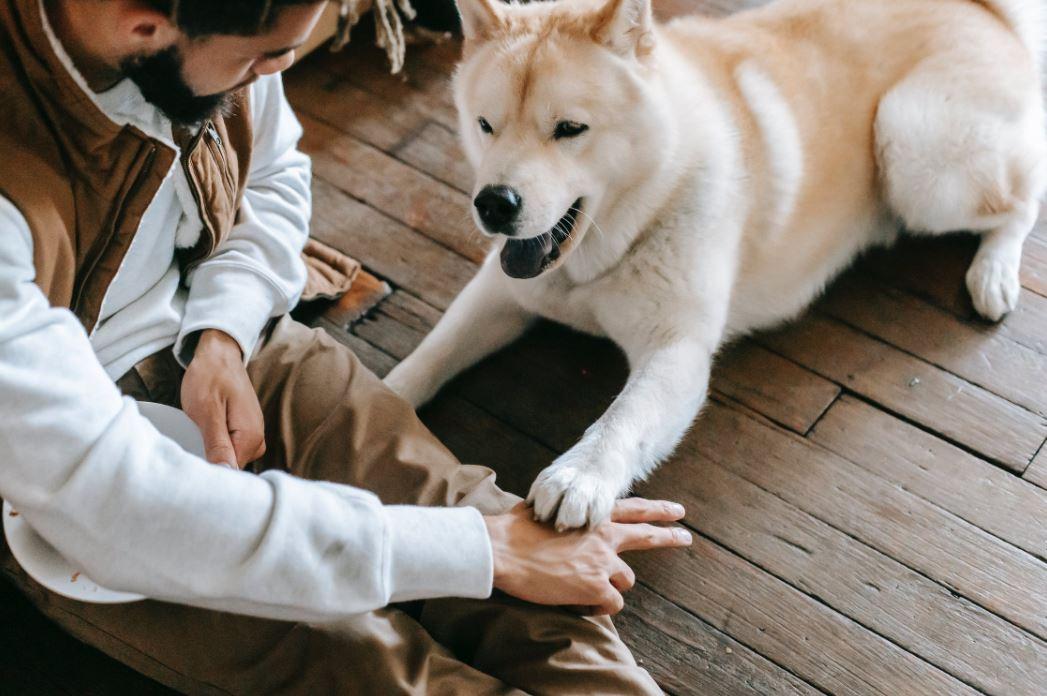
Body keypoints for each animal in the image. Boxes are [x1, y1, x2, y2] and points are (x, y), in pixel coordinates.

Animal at [387, 0, 1047, 529]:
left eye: (570, 129)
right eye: (486, 125)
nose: (494, 203)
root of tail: (983, 9)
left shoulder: (676, 348)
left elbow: (623, 418)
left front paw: (581, 477)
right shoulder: (500, 291)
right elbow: (432, 353)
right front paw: (381, 398)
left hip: (912, 148)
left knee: (1022, 200)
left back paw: (993, 273)